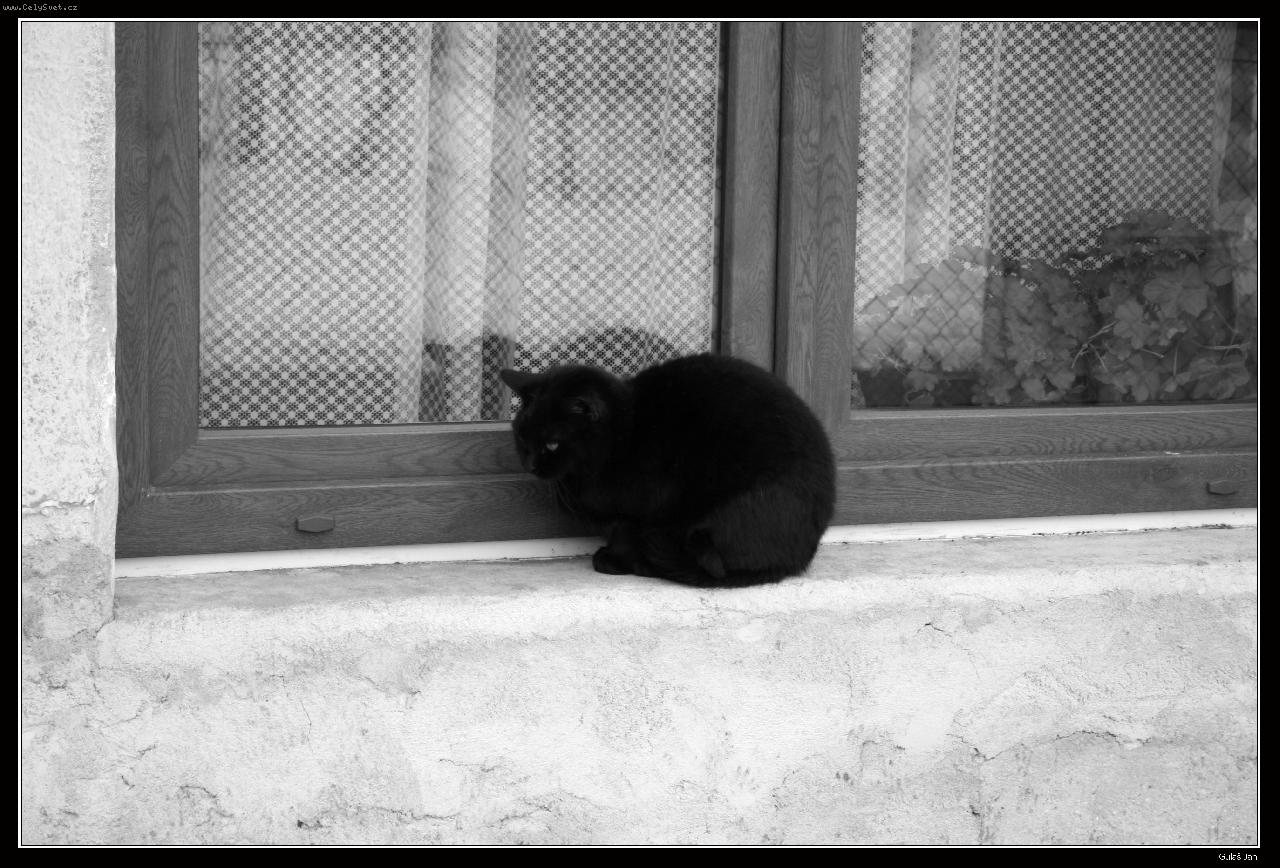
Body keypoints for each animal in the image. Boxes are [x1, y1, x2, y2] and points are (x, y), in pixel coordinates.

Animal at [500, 353, 835, 587]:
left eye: (553, 444)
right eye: (522, 437)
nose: (530, 464)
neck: (625, 435)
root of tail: (799, 557)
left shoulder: (644, 506)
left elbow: (623, 529)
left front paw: (613, 559)